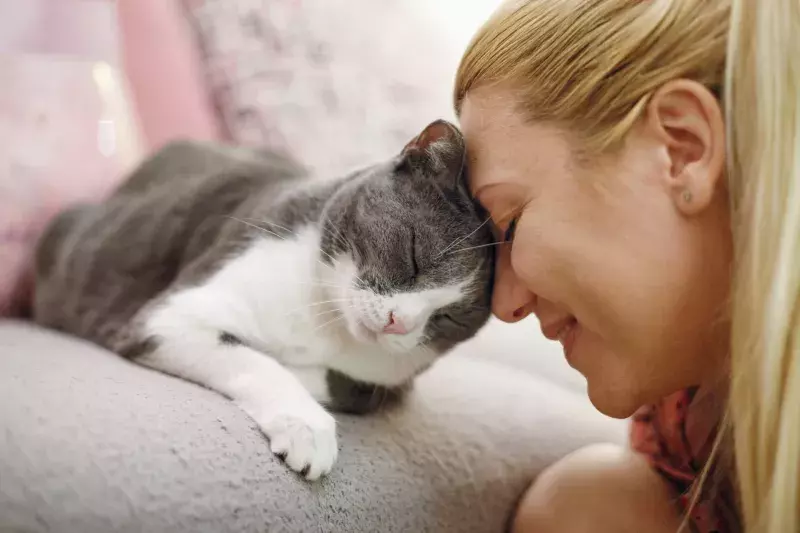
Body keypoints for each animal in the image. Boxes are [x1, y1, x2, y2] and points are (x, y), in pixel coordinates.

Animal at [34, 119, 496, 478]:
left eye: (452, 318)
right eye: (414, 255)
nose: (400, 323)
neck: (327, 320)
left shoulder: (392, 380)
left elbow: (351, 386)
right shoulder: (170, 316)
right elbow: (258, 361)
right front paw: (307, 427)